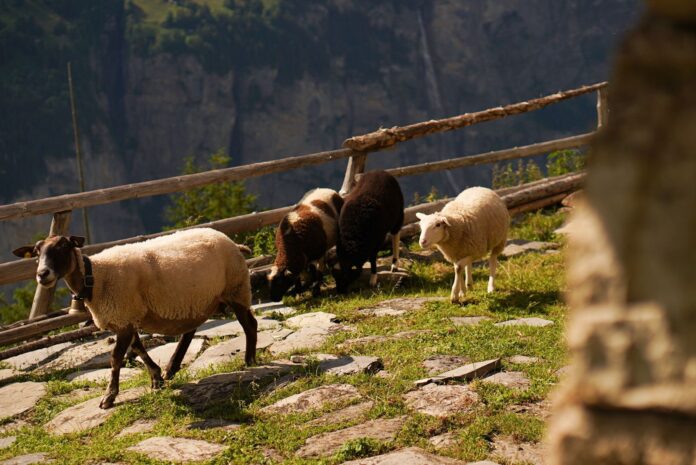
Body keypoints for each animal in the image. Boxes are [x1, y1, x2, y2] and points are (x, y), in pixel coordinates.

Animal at [12, 227, 256, 408]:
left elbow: (115, 358)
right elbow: (138, 348)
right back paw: (171, 368)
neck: (95, 277)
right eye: (37, 252)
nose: (42, 274)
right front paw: (156, 378)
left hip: (236, 288)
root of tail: (232, 242)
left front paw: (109, 397)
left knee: (249, 324)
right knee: (190, 331)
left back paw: (250, 361)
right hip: (196, 300)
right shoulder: (127, 318)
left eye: (63, 246)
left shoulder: (124, 318)